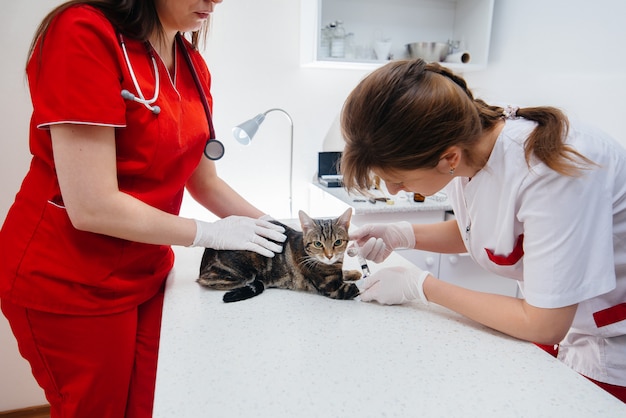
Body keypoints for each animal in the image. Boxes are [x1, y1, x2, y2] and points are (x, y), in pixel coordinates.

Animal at [195, 211, 360, 302]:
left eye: (337, 242)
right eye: (318, 244)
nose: (329, 256)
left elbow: (345, 273)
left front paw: (354, 272)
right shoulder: (334, 287)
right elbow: (357, 290)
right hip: (242, 274)